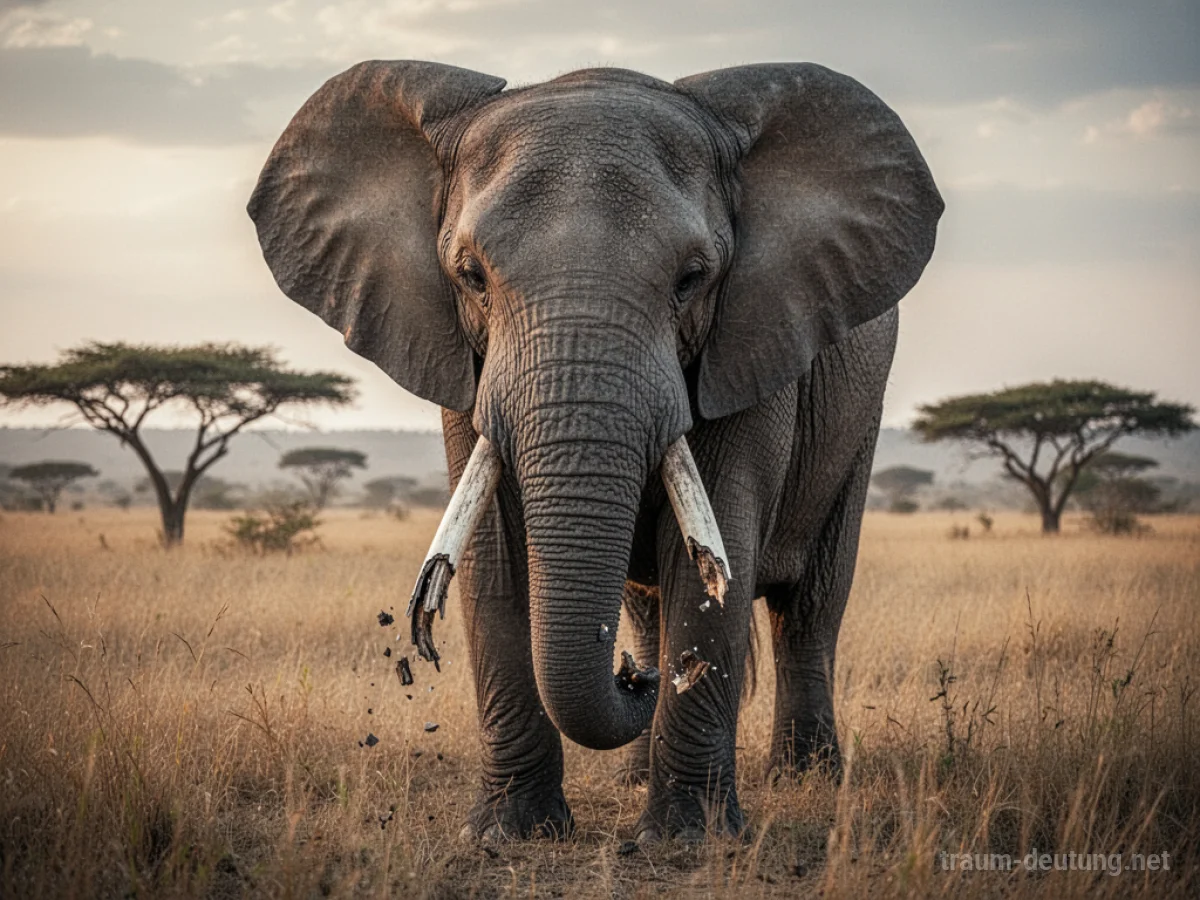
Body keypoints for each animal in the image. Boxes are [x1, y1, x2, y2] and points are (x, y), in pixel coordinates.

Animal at [248, 60, 942, 844]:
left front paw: (688, 839)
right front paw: (510, 832)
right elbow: (493, 553)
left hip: (858, 418)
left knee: (809, 606)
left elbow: (715, 550)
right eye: (471, 275)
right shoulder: (462, 363)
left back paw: (805, 778)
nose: (632, 677)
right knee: (647, 606)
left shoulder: (753, 340)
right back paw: (637, 764)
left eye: (692, 278)